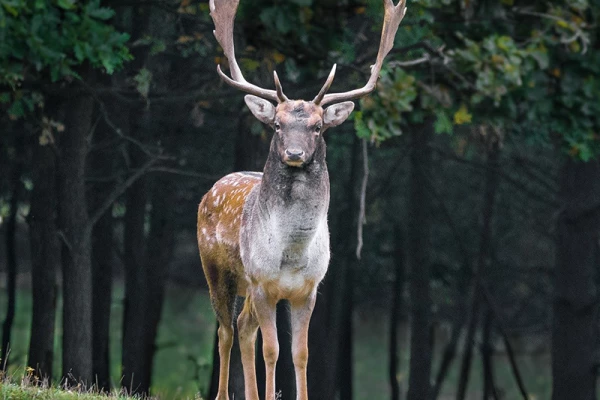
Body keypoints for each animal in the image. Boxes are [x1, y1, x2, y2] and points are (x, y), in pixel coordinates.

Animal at [197, 1, 408, 398]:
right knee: (226, 330)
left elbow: (300, 353)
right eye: (277, 125)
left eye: (318, 126)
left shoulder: (308, 291)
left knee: (243, 326)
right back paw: (222, 394)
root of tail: (211, 189)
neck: (292, 253)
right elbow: (271, 349)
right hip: (216, 269)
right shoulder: (262, 283)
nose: (294, 153)